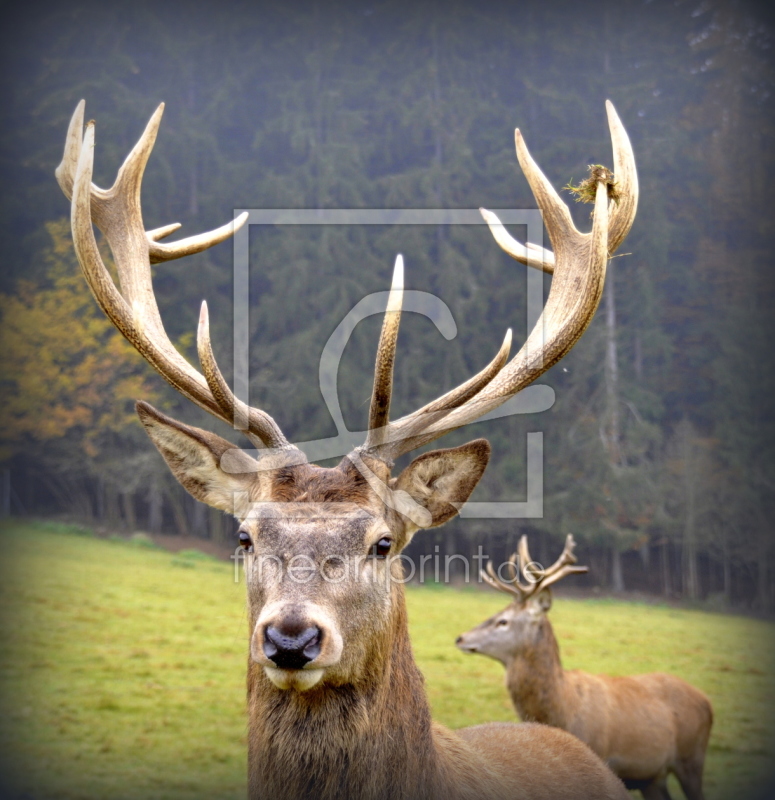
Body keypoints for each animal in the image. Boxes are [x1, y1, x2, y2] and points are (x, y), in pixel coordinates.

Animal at [454, 536, 716, 800]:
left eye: (503, 621)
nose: (460, 638)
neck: (563, 709)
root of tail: (707, 701)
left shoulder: (600, 748)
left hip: (692, 757)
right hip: (652, 777)